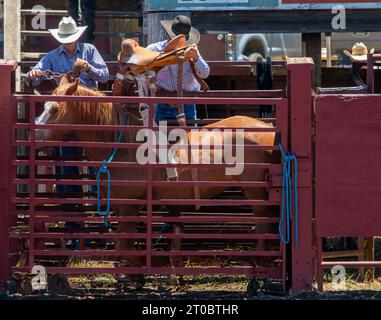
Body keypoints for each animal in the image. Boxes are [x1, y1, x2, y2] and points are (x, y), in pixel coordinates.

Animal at [42, 77, 280, 288]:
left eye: (54, 109)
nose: (36, 133)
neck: (123, 147)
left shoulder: (129, 205)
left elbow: (123, 245)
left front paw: (144, 271)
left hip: (256, 193)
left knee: (264, 227)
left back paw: (260, 273)